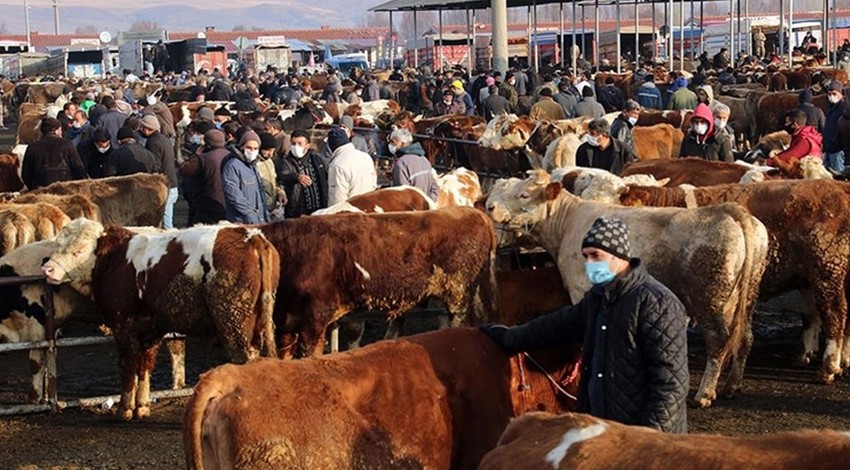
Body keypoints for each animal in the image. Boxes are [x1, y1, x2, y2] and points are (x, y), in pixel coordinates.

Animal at [41, 222, 280, 420]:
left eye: (79, 250)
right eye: (58, 244)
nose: (47, 268)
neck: (114, 260)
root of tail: (252, 237)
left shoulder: (123, 327)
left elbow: (128, 366)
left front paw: (125, 409)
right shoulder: (150, 329)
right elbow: (145, 366)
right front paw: (142, 406)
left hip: (234, 324)